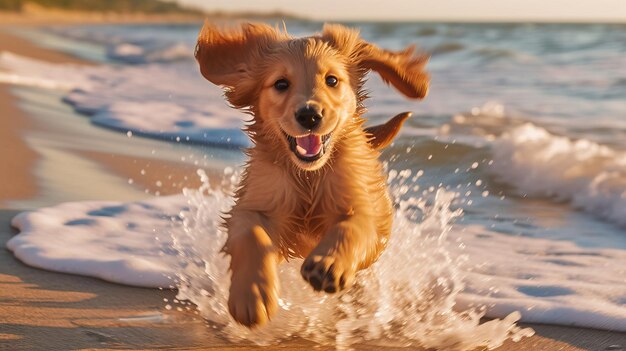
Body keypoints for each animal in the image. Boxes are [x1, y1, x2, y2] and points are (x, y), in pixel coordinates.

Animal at [195, 22, 428, 328]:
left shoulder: (363, 208)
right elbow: (251, 234)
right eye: (281, 84)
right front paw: (252, 294)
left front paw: (327, 266)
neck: (309, 177)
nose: (309, 115)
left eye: (332, 80)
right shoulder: (256, 203)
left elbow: (352, 227)